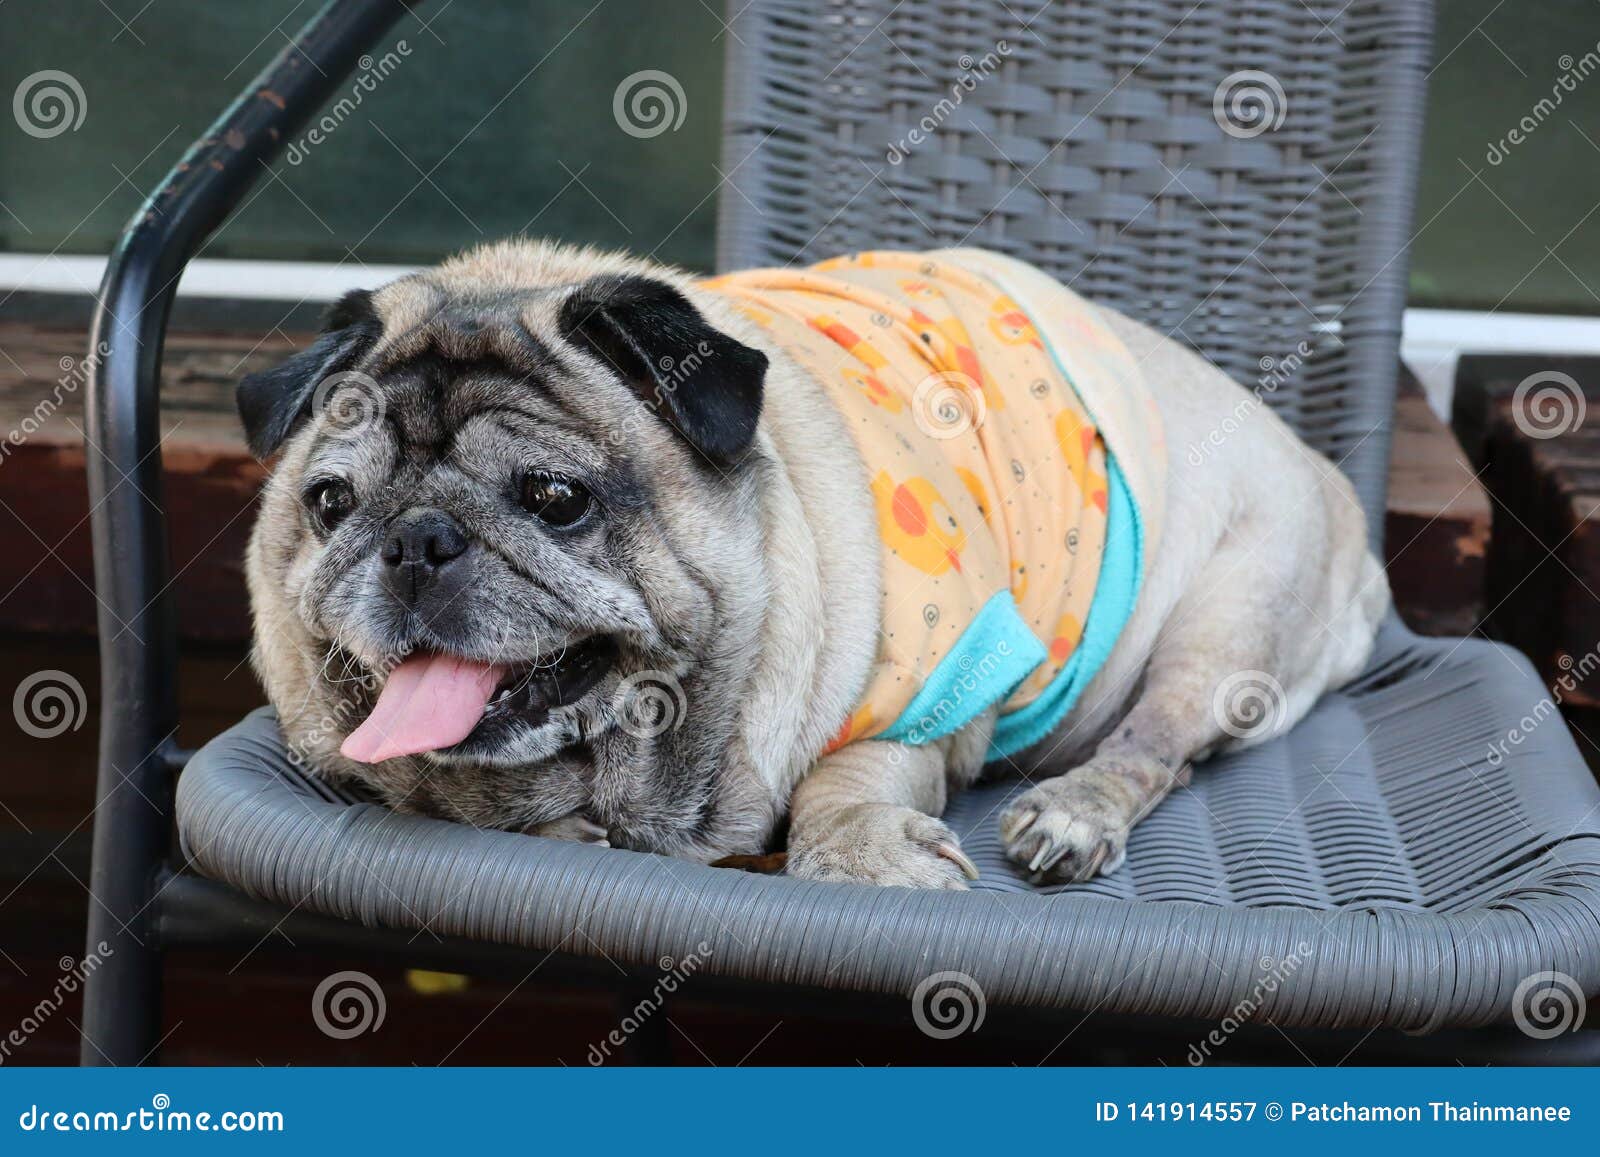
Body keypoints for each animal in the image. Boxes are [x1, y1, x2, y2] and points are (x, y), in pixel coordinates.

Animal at [240, 240, 1388, 889]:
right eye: (331, 502)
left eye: (555, 499)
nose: (417, 538)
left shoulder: (935, 699)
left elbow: (850, 777)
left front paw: (867, 850)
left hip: (1227, 625)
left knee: (1154, 746)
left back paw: (1072, 811)